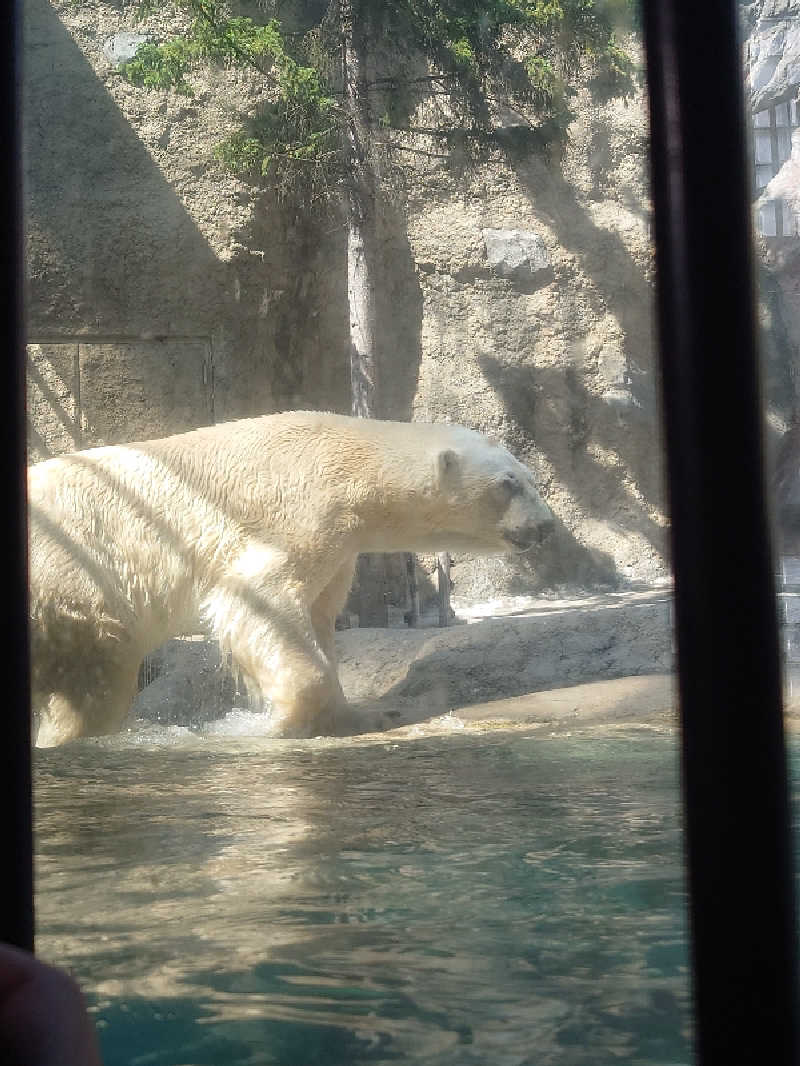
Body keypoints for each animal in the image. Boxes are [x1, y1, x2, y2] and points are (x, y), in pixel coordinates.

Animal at [31, 411, 558, 746]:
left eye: (529, 477)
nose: (547, 526)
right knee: (99, 671)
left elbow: (318, 616)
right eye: (509, 483)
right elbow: (256, 601)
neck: (351, 457)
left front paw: (360, 713)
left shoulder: (341, 545)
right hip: (73, 579)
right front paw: (286, 722)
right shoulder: (298, 511)